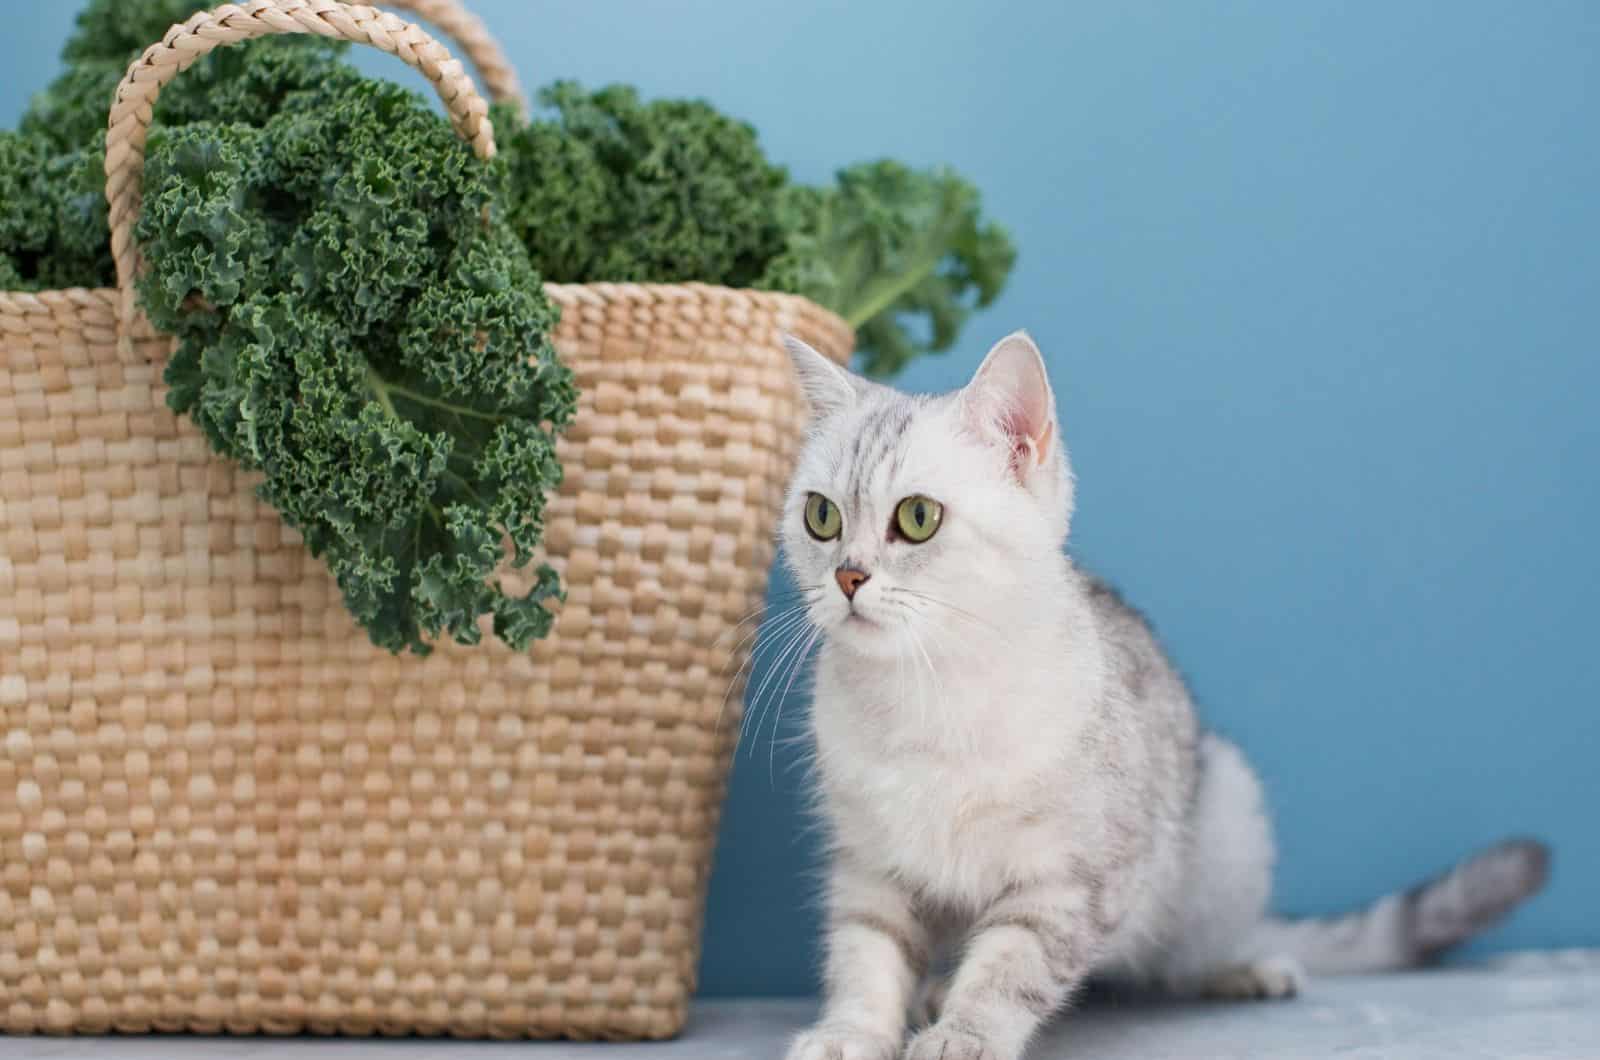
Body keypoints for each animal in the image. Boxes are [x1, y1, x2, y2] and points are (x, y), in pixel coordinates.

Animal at [774, 333, 1548, 1060]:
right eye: (821, 517)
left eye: (917, 518)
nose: (847, 576)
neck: (925, 695)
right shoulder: (870, 866)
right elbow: (866, 954)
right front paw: (853, 1031)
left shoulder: (1069, 876)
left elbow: (1009, 968)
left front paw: (965, 1034)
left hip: (1226, 825)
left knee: (1191, 956)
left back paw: (1245, 967)